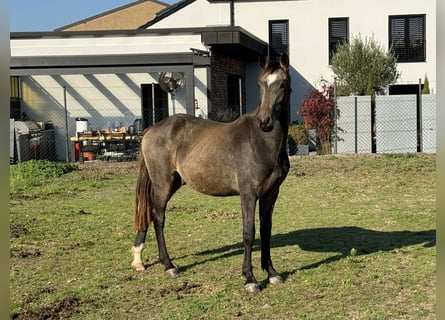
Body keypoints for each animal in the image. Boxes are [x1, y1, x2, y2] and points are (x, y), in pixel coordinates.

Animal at [129, 52, 292, 292]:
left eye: (282, 83)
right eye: (260, 84)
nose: (265, 121)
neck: (261, 142)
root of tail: (152, 129)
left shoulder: (271, 194)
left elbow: (266, 230)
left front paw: (271, 273)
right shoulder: (248, 194)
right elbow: (249, 232)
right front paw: (250, 279)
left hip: (173, 183)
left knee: (149, 214)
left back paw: (138, 259)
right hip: (162, 184)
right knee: (158, 217)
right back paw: (169, 265)